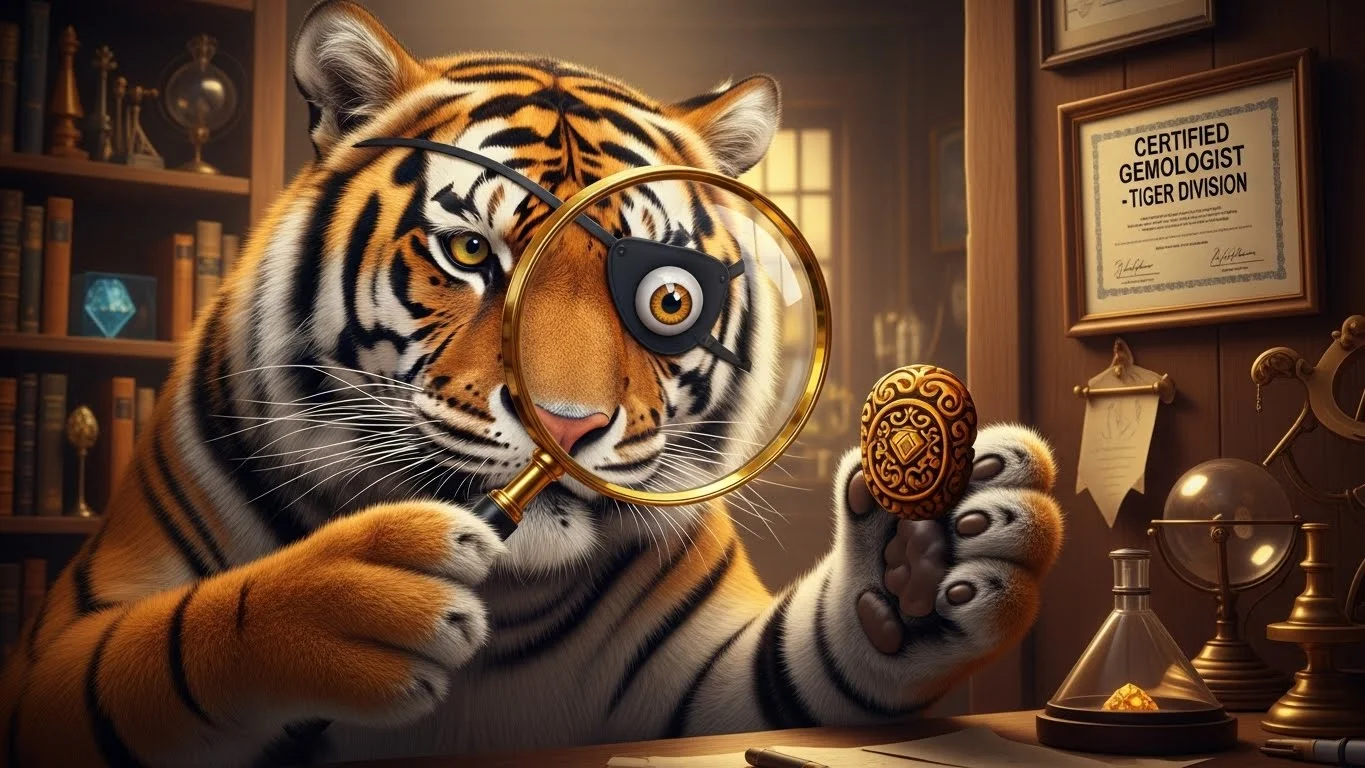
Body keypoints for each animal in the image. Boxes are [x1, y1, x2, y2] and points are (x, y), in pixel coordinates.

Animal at [0, 2, 1064, 765]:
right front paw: (352, 598)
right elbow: (171, 642)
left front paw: (933, 550)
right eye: (472, 251)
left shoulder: (702, 685)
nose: (569, 427)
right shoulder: (57, 655)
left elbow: (817, 663)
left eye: (668, 296)